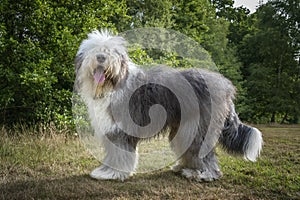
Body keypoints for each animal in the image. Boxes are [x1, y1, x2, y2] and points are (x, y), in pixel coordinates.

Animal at [75, 29, 262, 181]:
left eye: (112, 52)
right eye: (94, 50)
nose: (101, 57)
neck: (112, 85)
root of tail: (225, 88)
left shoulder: (121, 130)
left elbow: (120, 153)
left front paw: (113, 174)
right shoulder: (111, 129)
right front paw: (106, 171)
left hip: (198, 127)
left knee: (202, 152)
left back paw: (203, 174)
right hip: (185, 126)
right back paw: (183, 167)